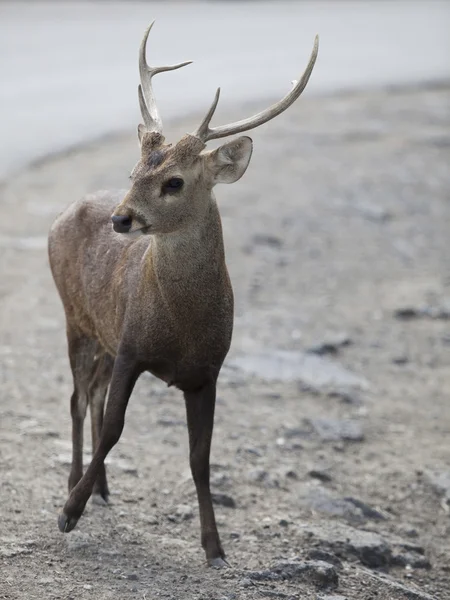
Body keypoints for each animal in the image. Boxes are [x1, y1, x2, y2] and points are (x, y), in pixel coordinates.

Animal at [47, 19, 318, 568]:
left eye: (174, 182)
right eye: (133, 173)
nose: (121, 219)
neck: (183, 327)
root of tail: (63, 214)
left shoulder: (208, 371)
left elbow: (200, 457)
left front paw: (215, 548)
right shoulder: (133, 346)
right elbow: (115, 428)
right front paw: (68, 513)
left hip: (103, 336)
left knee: (92, 393)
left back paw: (102, 488)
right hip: (75, 319)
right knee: (79, 399)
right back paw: (77, 484)